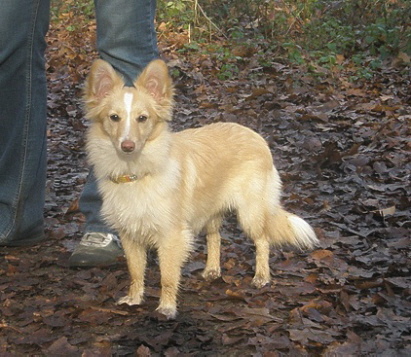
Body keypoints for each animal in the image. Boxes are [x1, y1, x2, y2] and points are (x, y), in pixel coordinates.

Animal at [83, 57, 320, 318]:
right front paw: (134, 299)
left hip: (250, 212)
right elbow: (135, 272)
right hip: (211, 210)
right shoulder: (129, 234)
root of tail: (255, 135)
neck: (135, 171)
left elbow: (167, 276)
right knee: (215, 237)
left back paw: (261, 276)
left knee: (262, 239)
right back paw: (212, 270)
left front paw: (166, 307)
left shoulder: (171, 236)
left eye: (142, 118)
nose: (127, 146)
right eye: (114, 118)